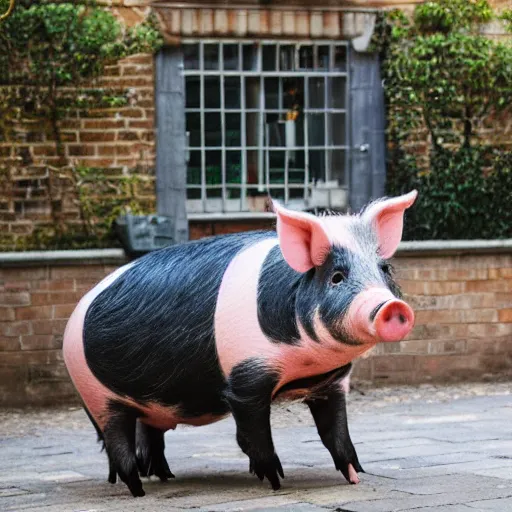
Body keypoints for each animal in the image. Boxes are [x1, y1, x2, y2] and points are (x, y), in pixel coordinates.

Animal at [62, 189, 418, 496]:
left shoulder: (332, 382)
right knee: (116, 439)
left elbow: (336, 432)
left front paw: (355, 476)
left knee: (149, 435)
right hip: (94, 394)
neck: (304, 365)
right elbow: (252, 433)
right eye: (337, 277)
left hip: (148, 404)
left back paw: (165, 477)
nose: (391, 307)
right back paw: (137, 490)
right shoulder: (245, 380)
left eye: (384, 269)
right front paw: (276, 482)